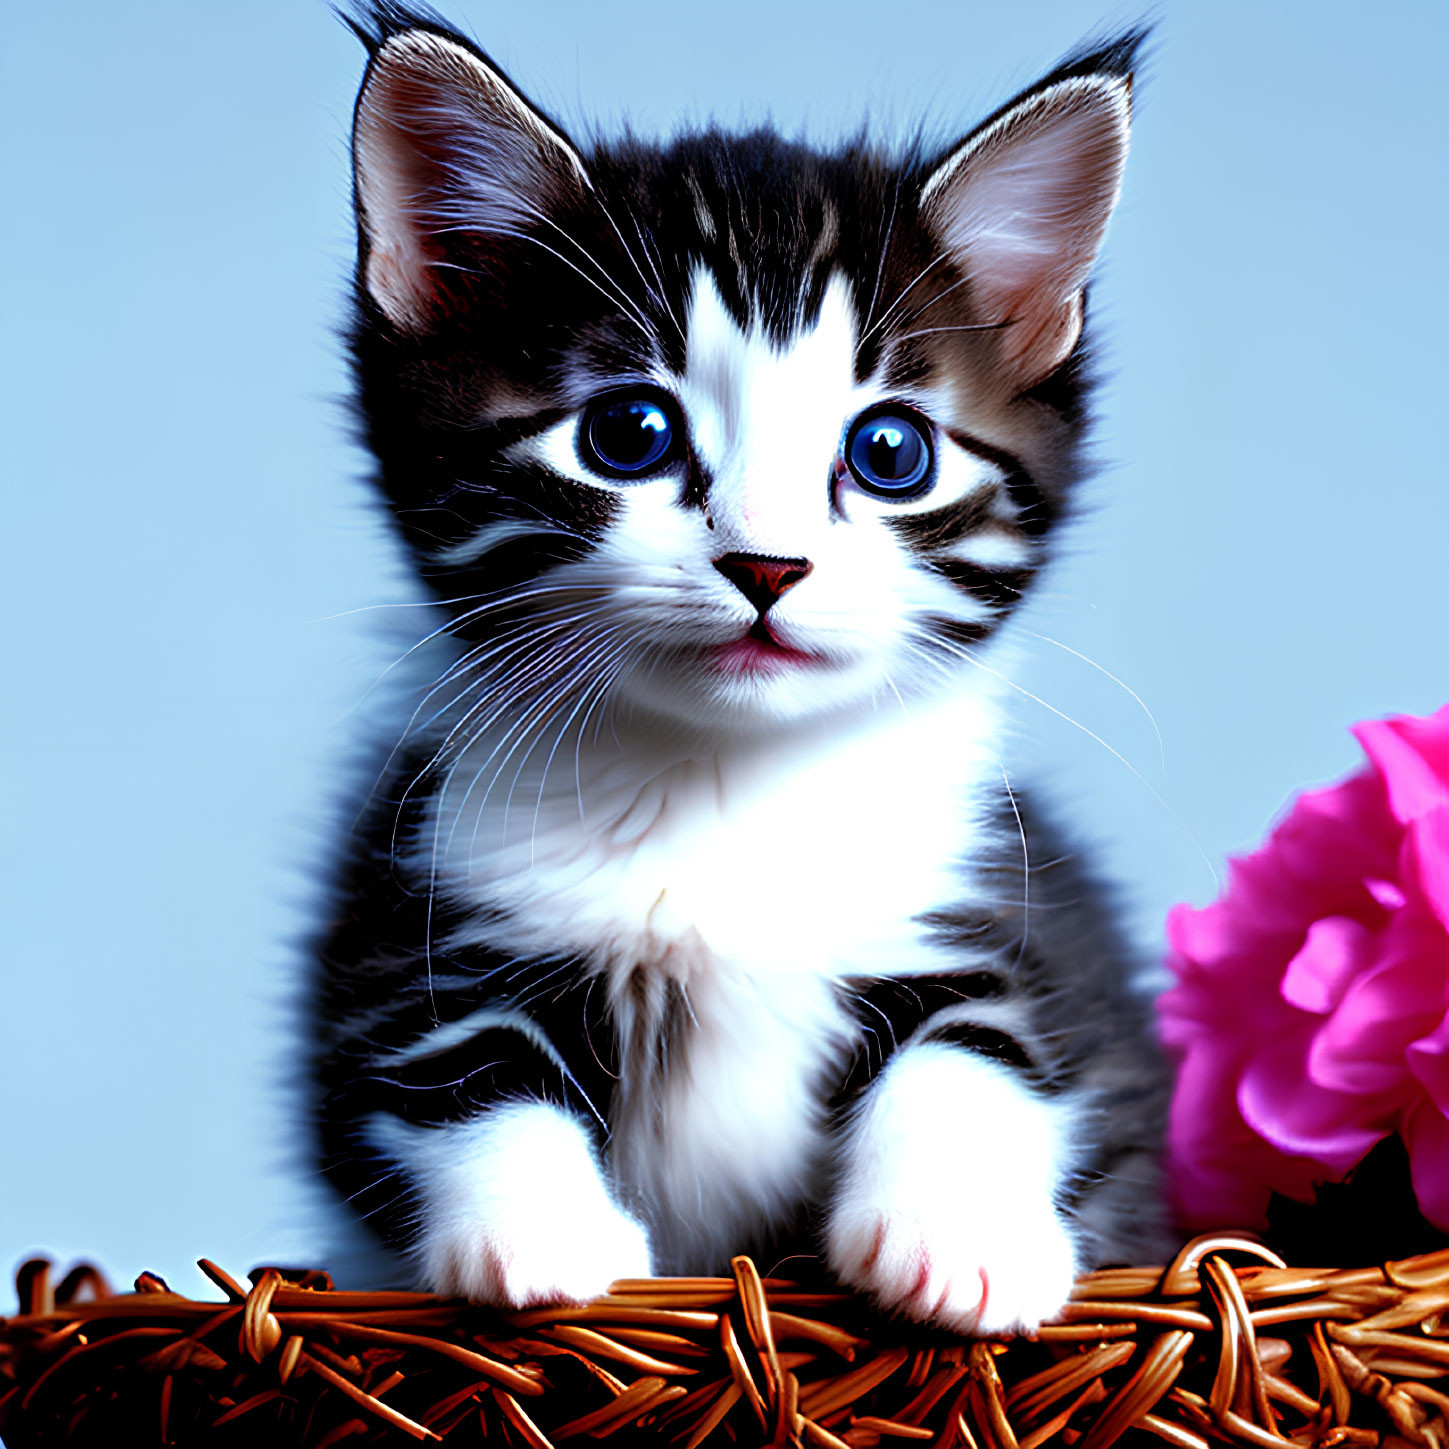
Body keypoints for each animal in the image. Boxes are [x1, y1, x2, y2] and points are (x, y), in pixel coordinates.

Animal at [314, 2, 1164, 1333]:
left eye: (890, 452)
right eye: (628, 433)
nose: (768, 564)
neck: (723, 779)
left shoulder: (1018, 909)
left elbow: (988, 1037)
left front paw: (956, 1232)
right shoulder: (409, 901)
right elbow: (442, 1062)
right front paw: (537, 1231)